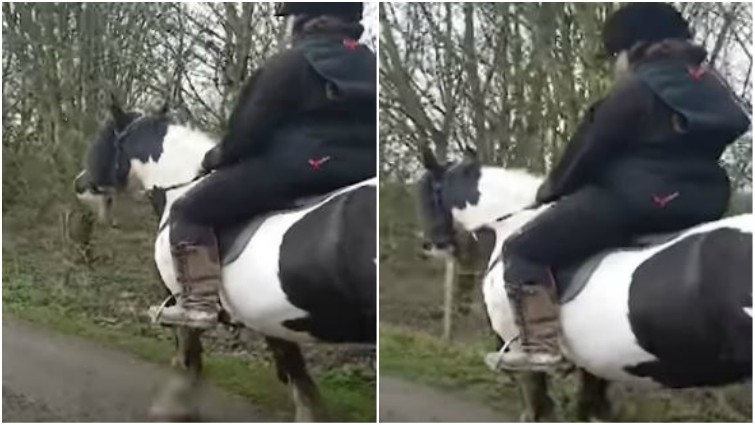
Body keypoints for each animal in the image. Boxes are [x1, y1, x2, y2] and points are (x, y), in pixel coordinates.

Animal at [73, 102, 376, 421]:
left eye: (102, 139)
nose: (79, 184)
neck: (180, 189)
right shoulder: (270, 319)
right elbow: (298, 377)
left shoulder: (184, 303)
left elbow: (189, 357)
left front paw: (175, 406)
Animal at [417, 146, 752, 421]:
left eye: (426, 195)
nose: (432, 245)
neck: (513, 224)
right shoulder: (596, 366)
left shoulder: (525, 361)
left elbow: (539, 411)